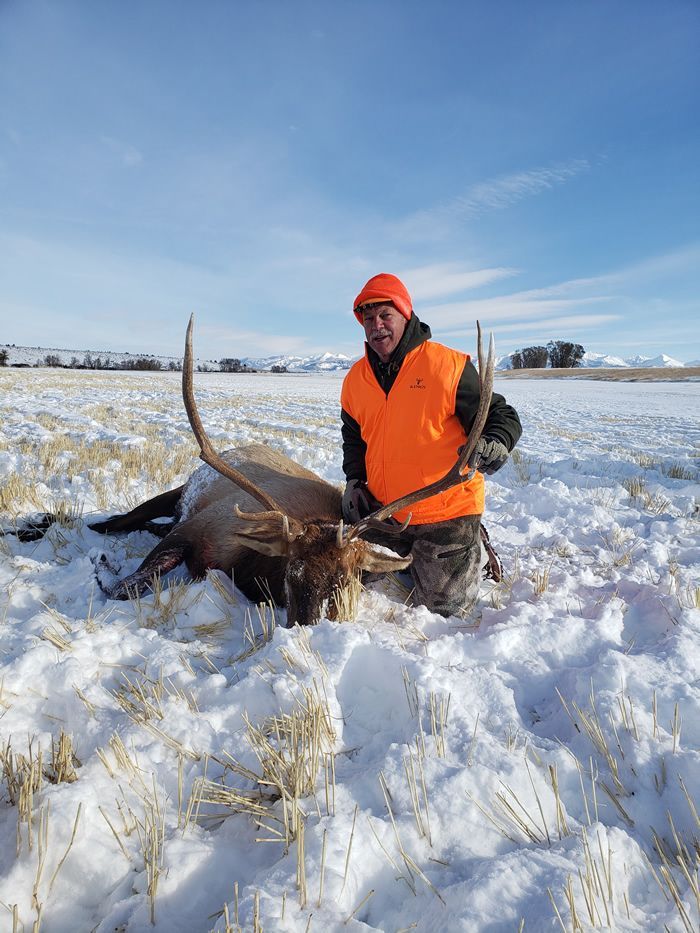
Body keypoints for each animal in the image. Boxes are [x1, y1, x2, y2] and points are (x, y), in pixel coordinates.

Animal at [10, 316, 495, 626]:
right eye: (292, 573)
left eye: (347, 580)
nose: (308, 627)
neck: (246, 565)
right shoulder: (197, 528)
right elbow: (124, 586)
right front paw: (101, 567)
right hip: (176, 492)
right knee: (115, 520)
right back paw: (35, 526)